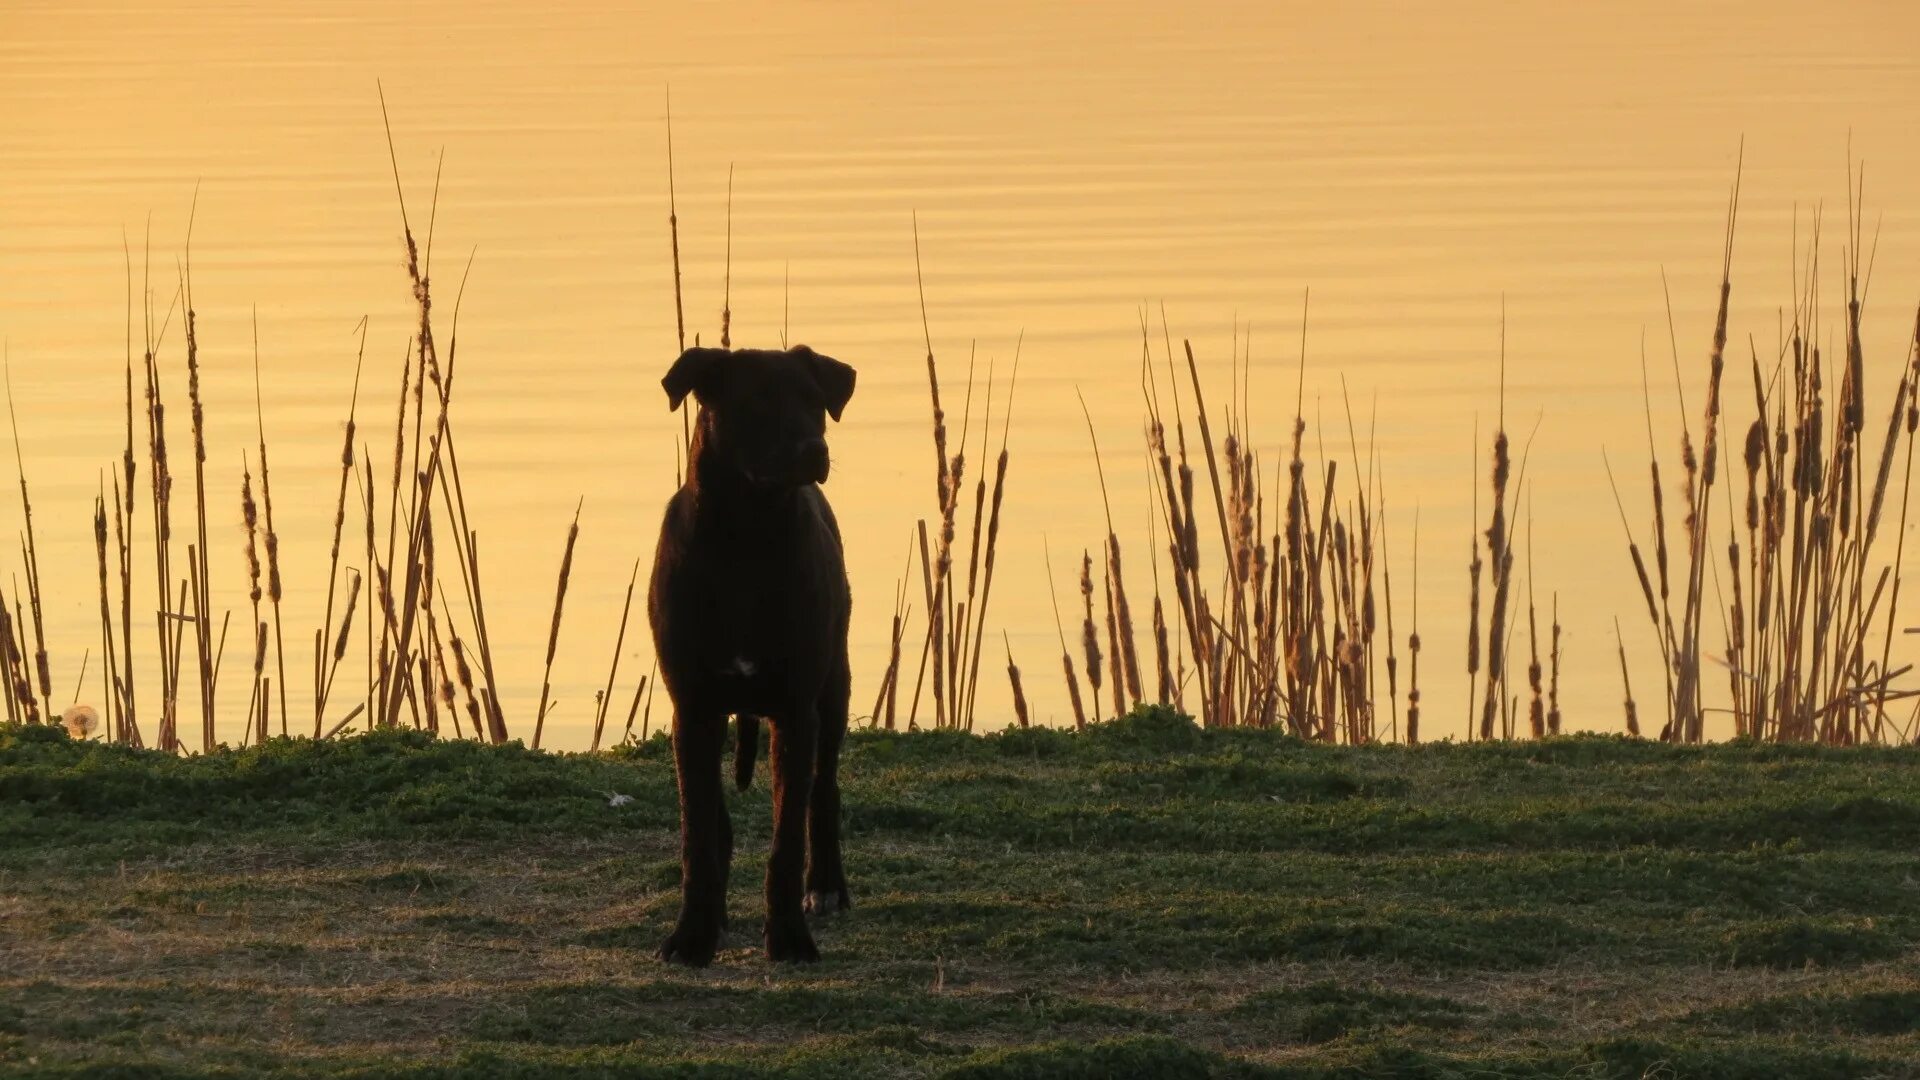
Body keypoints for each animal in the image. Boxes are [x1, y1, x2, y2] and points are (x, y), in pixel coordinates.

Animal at [645, 342, 856, 957]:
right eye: (756, 401)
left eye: (815, 400)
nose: (814, 450)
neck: (746, 542)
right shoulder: (692, 708)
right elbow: (697, 836)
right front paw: (692, 936)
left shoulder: (796, 711)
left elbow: (786, 839)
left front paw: (788, 938)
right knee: (716, 819)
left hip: (833, 689)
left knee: (823, 792)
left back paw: (826, 885)